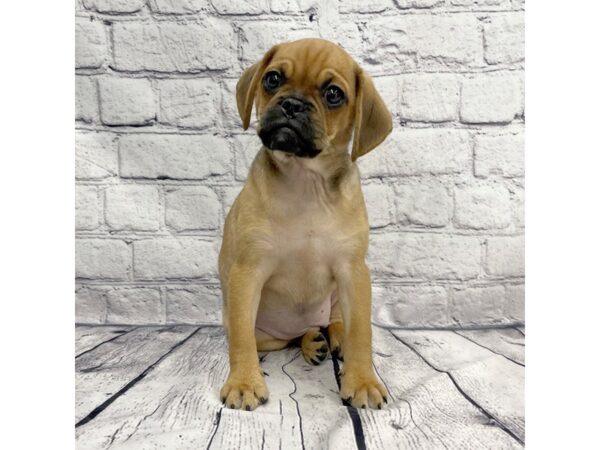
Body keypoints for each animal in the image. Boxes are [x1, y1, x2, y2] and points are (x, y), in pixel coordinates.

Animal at [218, 39, 392, 412]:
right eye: (272, 79)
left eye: (333, 94)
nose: (292, 104)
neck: (305, 181)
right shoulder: (247, 272)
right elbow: (240, 338)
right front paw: (244, 383)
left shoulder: (352, 271)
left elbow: (361, 333)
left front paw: (363, 381)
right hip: (268, 335)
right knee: (281, 338)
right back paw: (311, 340)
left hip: (340, 294)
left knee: (335, 321)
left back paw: (328, 338)